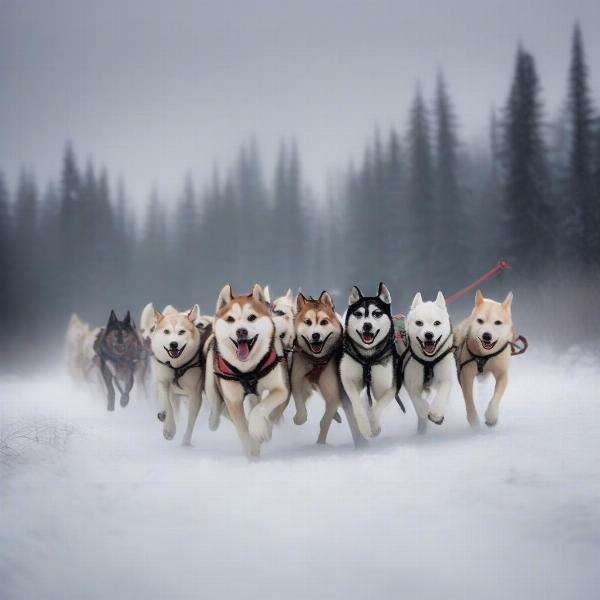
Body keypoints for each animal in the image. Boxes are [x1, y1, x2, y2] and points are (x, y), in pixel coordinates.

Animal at [143, 304, 213, 446]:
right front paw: (169, 430)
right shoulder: (163, 383)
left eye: (181, 332)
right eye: (166, 331)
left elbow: (191, 420)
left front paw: (186, 443)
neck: (176, 366)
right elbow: (168, 406)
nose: (173, 344)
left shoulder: (195, 394)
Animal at [205, 284, 290, 458]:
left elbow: (260, 409)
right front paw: (251, 449)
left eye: (252, 317)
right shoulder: (233, 400)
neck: (247, 370)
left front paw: (258, 429)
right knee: (219, 411)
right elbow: (242, 428)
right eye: (230, 319)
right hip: (213, 391)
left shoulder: (280, 388)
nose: (241, 331)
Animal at [292, 290, 364, 446]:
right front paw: (299, 418)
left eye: (324, 322)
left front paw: (320, 444)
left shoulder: (333, 394)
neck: (317, 360)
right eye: (308, 322)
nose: (315, 335)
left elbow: (325, 421)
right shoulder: (297, 382)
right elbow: (300, 409)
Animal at [338, 284, 404, 438]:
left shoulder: (388, 386)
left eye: (377, 313)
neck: (367, 358)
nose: (367, 325)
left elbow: (377, 406)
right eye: (358, 314)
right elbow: (356, 403)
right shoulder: (348, 379)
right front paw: (364, 427)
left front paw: (374, 427)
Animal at [454, 290, 516, 426]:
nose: (486, 336)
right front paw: (474, 421)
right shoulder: (466, 374)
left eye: (497, 322)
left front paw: (491, 415)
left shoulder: (502, 373)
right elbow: (469, 399)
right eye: (480, 320)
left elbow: (496, 395)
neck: (485, 355)